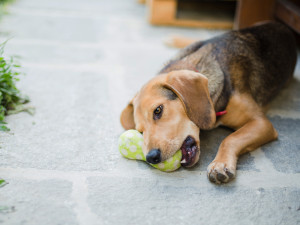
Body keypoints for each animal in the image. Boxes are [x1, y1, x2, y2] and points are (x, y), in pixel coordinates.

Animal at [120, 22, 298, 184]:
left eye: (158, 110)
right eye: (140, 131)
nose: (151, 157)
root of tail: (283, 25)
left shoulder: (262, 123)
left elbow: (230, 138)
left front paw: (220, 165)